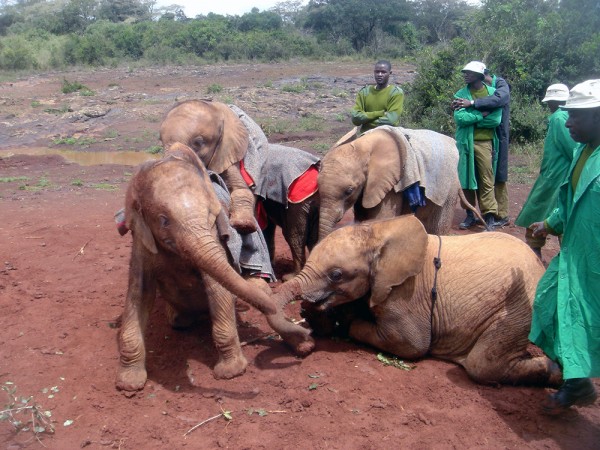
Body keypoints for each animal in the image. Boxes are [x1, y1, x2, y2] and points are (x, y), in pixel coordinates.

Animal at [117, 143, 314, 390]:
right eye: (163, 220)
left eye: (212, 214)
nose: (309, 328)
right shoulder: (141, 242)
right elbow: (138, 296)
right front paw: (129, 385)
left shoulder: (215, 239)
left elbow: (217, 288)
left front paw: (231, 373)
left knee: (258, 289)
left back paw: (304, 346)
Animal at [158, 100, 318, 280]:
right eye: (160, 141)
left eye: (198, 143)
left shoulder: (230, 156)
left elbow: (241, 189)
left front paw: (243, 225)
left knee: (293, 234)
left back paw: (288, 276)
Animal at [274, 215, 564, 386]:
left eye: (336, 275)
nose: (303, 346)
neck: (379, 230)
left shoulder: (406, 293)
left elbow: (411, 344)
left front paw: (345, 323)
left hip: (521, 306)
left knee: (483, 366)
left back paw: (555, 372)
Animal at [316, 125, 486, 241]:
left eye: (349, 191)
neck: (362, 146)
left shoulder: (391, 185)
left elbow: (379, 219)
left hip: (448, 187)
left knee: (437, 226)